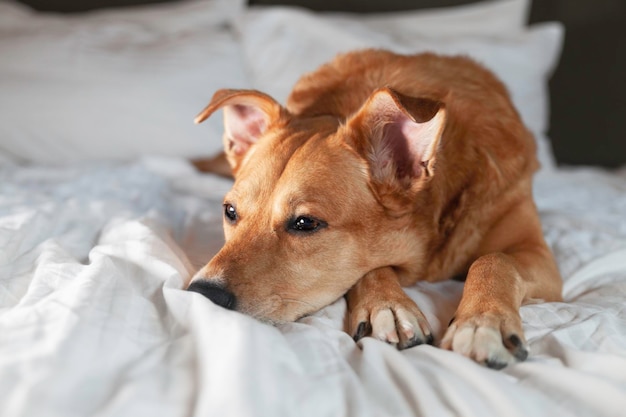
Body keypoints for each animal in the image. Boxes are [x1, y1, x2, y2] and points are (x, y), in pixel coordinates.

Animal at [186, 49, 560, 370]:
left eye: (305, 223)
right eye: (230, 212)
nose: (201, 294)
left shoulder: (538, 253)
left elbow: (494, 260)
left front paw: (482, 323)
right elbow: (372, 268)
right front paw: (388, 306)